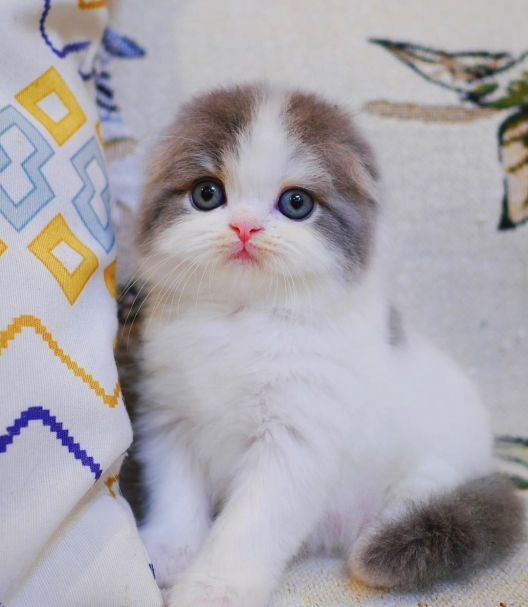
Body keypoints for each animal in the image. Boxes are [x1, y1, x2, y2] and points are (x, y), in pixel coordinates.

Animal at [133, 82, 524, 607]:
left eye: (296, 204)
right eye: (207, 194)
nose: (245, 227)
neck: (239, 319)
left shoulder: (296, 437)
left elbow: (251, 522)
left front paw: (215, 587)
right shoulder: (169, 419)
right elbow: (176, 497)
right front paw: (169, 554)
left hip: (430, 469)